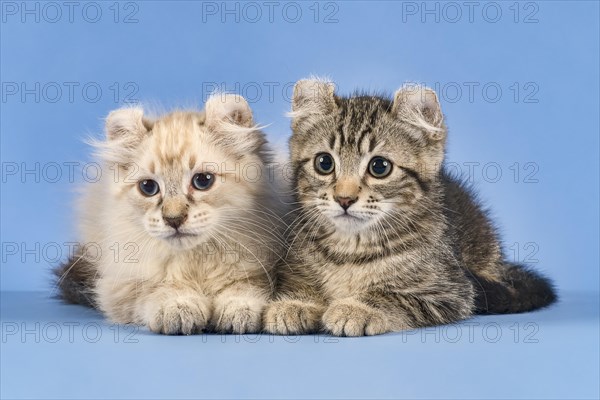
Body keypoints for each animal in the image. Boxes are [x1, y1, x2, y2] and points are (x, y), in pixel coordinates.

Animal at [54, 94, 286, 334]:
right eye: (148, 187)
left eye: (203, 181)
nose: (173, 219)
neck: (195, 261)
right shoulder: (122, 286)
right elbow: (160, 290)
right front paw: (178, 306)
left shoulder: (260, 271)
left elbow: (244, 288)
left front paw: (238, 309)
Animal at [264, 78, 556, 334]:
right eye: (324, 163)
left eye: (379, 167)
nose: (344, 199)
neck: (350, 248)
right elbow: (301, 286)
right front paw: (296, 303)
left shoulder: (452, 291)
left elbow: (392, 297)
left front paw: (356, 308)